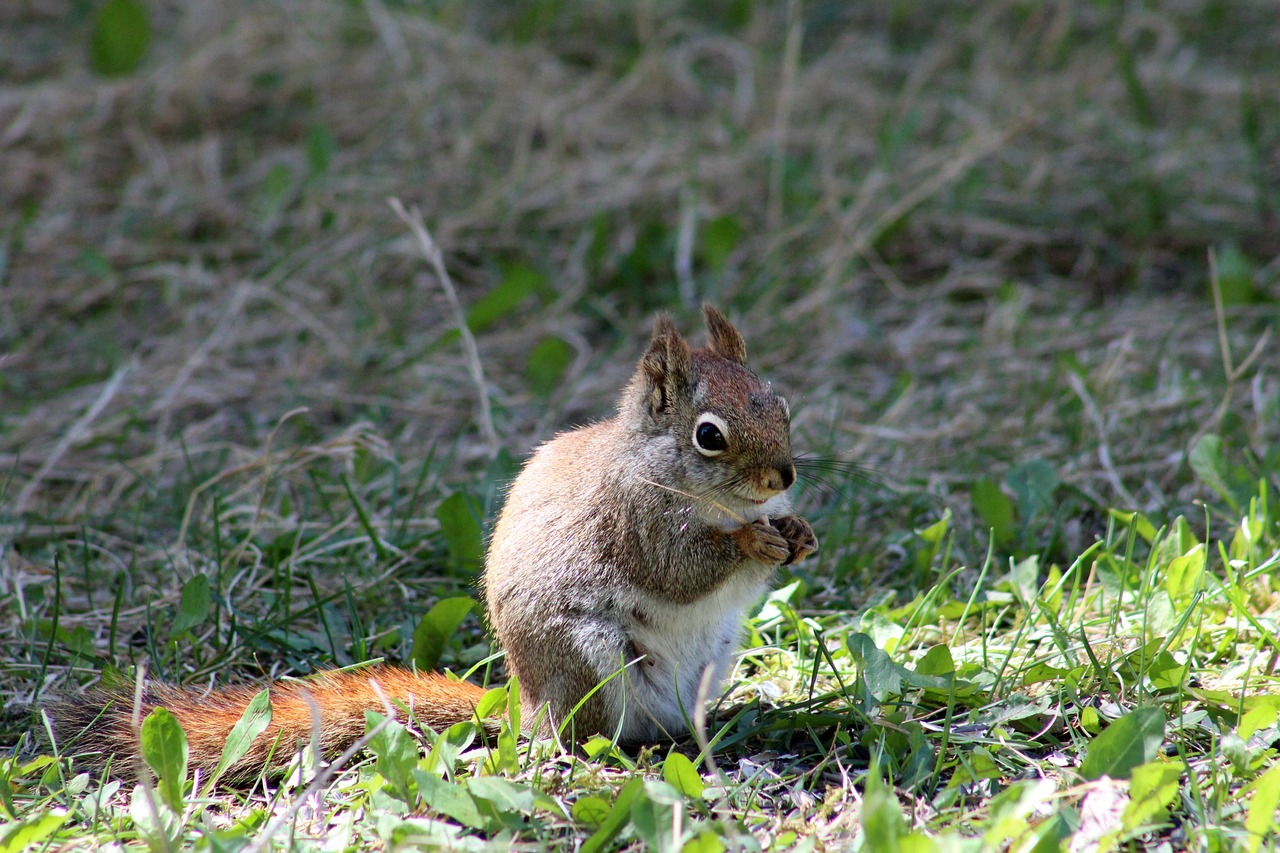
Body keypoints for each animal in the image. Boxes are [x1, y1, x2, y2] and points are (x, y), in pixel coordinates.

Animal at [52, 303, 819, 778]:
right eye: (709, 435)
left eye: (780, 403)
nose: (783, 474)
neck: (715, 500)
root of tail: (523, 702)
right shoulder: (635, 519)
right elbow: (679, 567)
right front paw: (751, 545)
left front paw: (797, 532)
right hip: (589, 658)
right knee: (579, 733)